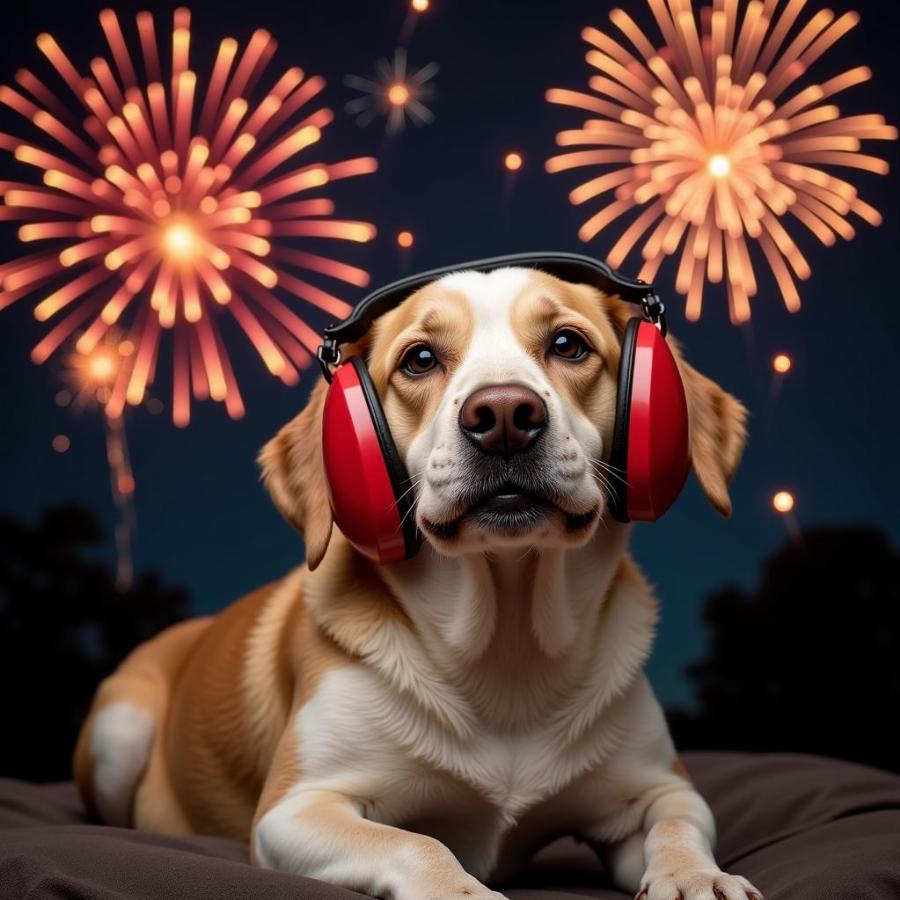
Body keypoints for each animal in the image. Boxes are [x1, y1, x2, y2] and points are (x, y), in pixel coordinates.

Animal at [75, 266, 760, 900]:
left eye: (568, 344)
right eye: (420, 359)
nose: (504, 414)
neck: (507, 643)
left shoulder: (661, 786)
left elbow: (677, 824)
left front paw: (697, 876)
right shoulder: (296, 809)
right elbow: (418, 843)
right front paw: (460, 890)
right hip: (120, 728)